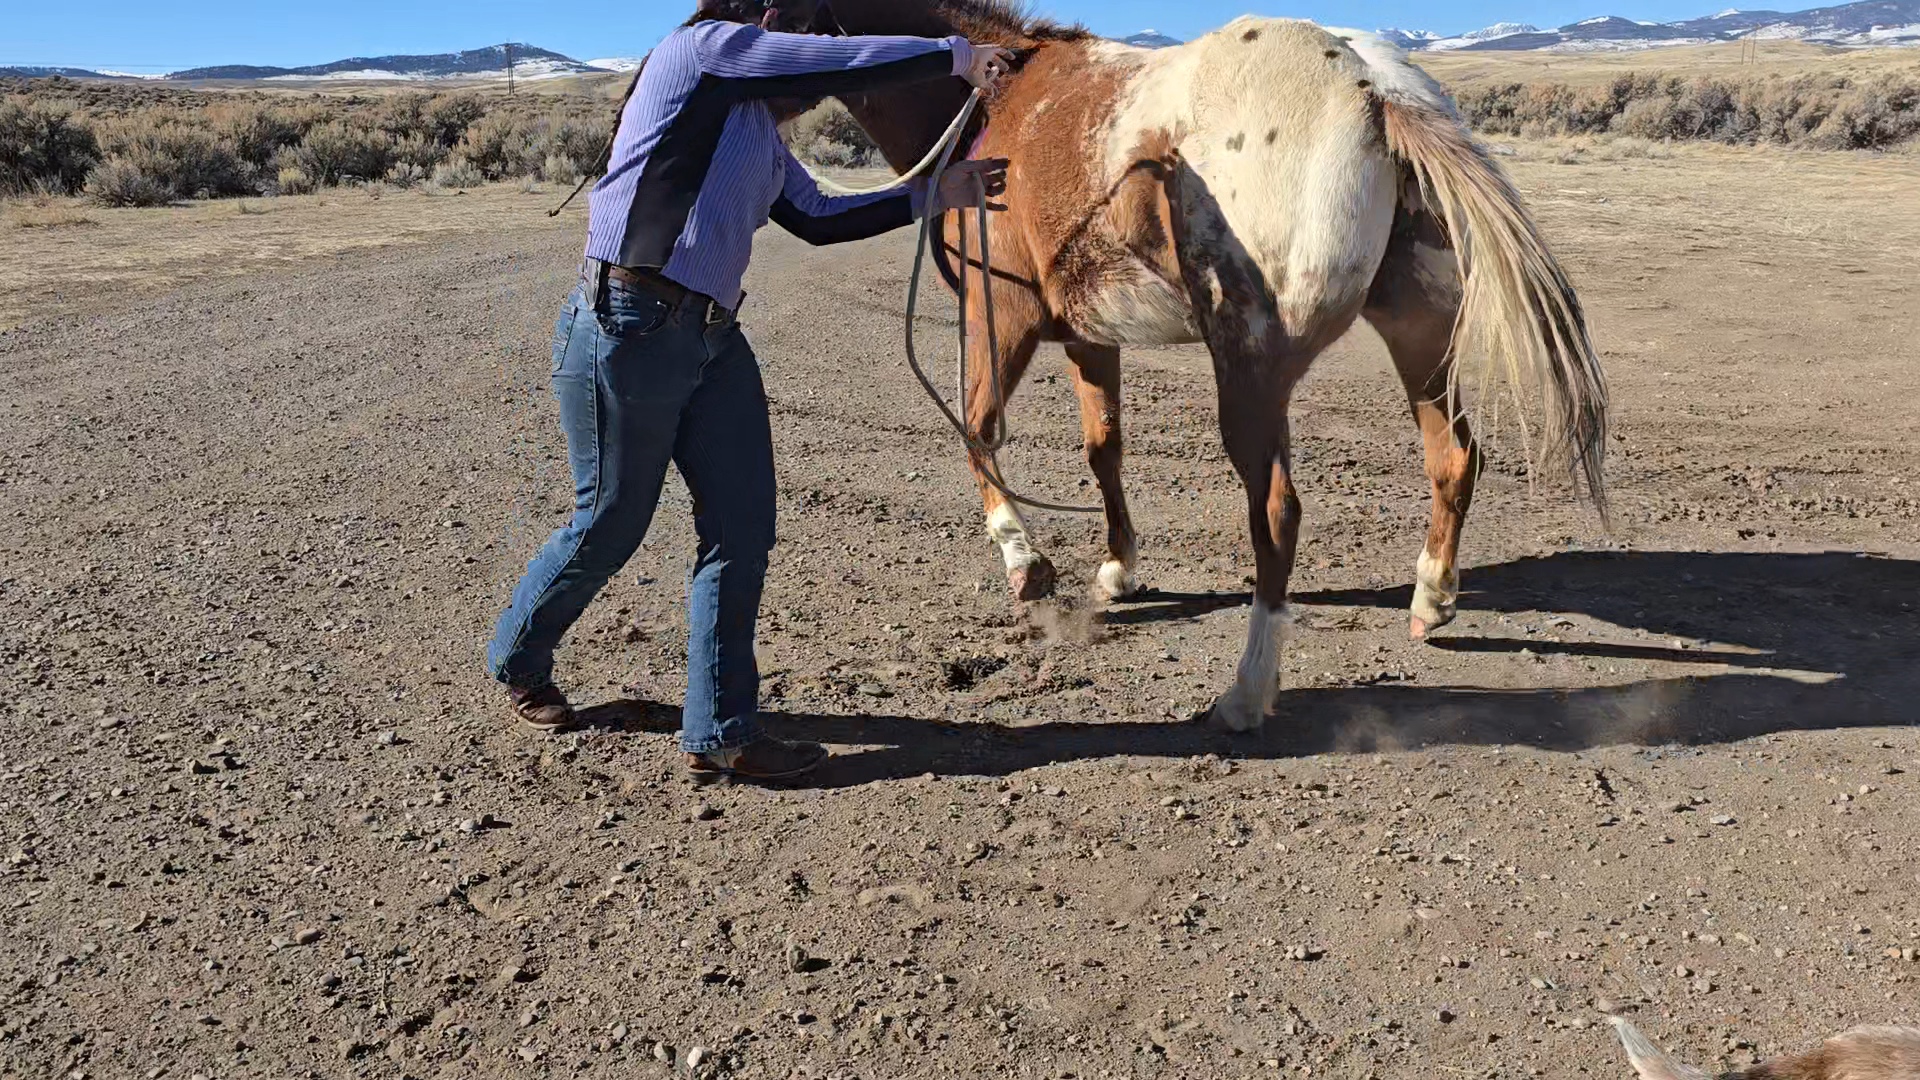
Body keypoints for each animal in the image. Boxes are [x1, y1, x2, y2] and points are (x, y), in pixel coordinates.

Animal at [805, 0, 1610, 730]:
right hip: (1420, 336)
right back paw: (1431, 599)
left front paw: (1024, 563)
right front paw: (1118, 568)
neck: (1002, 103)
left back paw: (1247, 693)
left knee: (1278, 514)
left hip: (1251, 372)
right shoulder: (1089, 336)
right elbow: (1104, 448)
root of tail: (1375, 89)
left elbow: (976, 428)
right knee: (1455, 457)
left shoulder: (1002, 315)